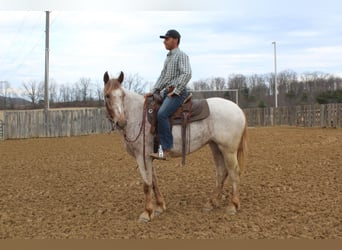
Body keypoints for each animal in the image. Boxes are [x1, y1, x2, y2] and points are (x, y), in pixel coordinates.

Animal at [103, 71, 247, 223]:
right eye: (107, 95)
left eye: (122, 95)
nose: (121, 122)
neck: (136, 115)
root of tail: (238, 109)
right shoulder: (149, 157)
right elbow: (154, 181)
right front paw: (159, 207)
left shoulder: (142, 157)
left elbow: (147, 185)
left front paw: (147, 212)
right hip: (216, 147)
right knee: (221, 172)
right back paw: (211, 203)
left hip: (228, 150)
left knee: (234, 172)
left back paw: (233, 205)